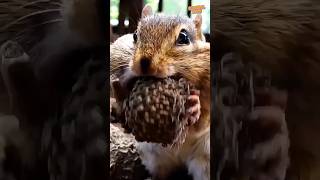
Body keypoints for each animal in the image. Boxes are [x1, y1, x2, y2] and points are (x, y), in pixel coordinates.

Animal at [111, 4, 211, 179]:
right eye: (135, 35)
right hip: (153, 157)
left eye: (184, 37)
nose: (144, 62)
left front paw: (194, 106)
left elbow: (202, 123)